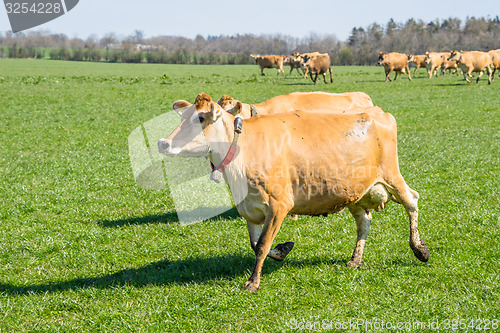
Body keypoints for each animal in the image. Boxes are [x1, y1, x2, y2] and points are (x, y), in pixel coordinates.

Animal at [159, 92, 430, 290]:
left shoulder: (279, 204)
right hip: (354, 192)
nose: (163, 142)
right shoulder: (249, 209)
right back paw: (355, 259)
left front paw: (253, 282)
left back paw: (419, 248)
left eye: (200, 118)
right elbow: (255, 243)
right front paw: (282, 250)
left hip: (392, 175)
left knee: (412, 202)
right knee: (364, 222)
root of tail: (377, 112)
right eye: (181, 117)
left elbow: (262, 245)